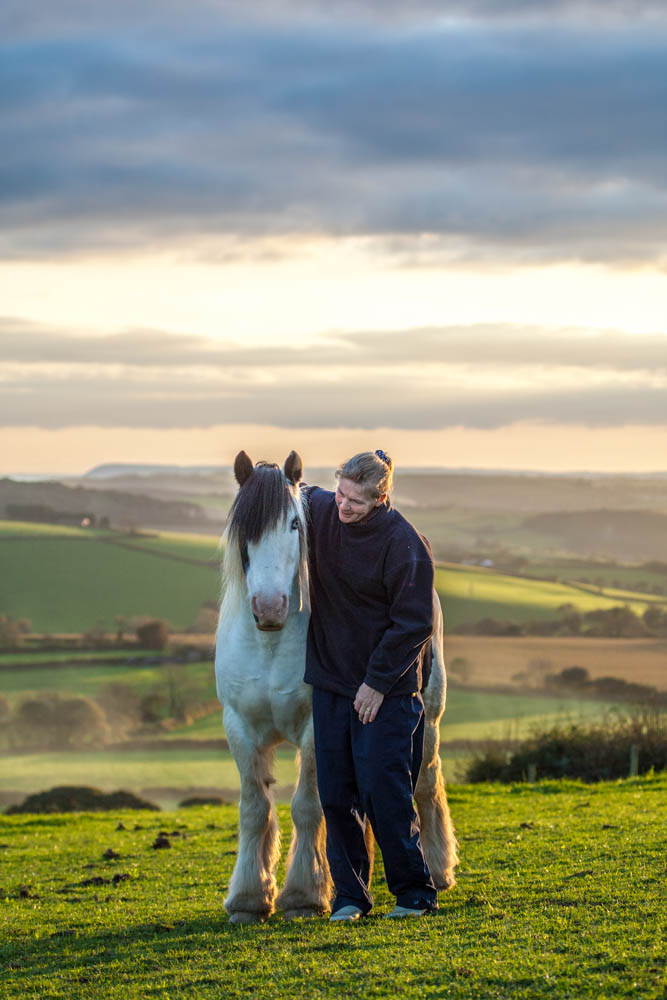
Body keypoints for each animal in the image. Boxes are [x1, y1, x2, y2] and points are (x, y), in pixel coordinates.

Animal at [217, 452, 456, 920]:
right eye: (244, 529)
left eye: (295, 524)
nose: (270, 608)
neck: (270, 646)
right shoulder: (240, 728)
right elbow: (255, 808)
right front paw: (249, 900)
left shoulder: (316, 728)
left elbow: (308, 807)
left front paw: (303, 896)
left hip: (428, 720)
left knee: (424, 782)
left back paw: (436, 871)